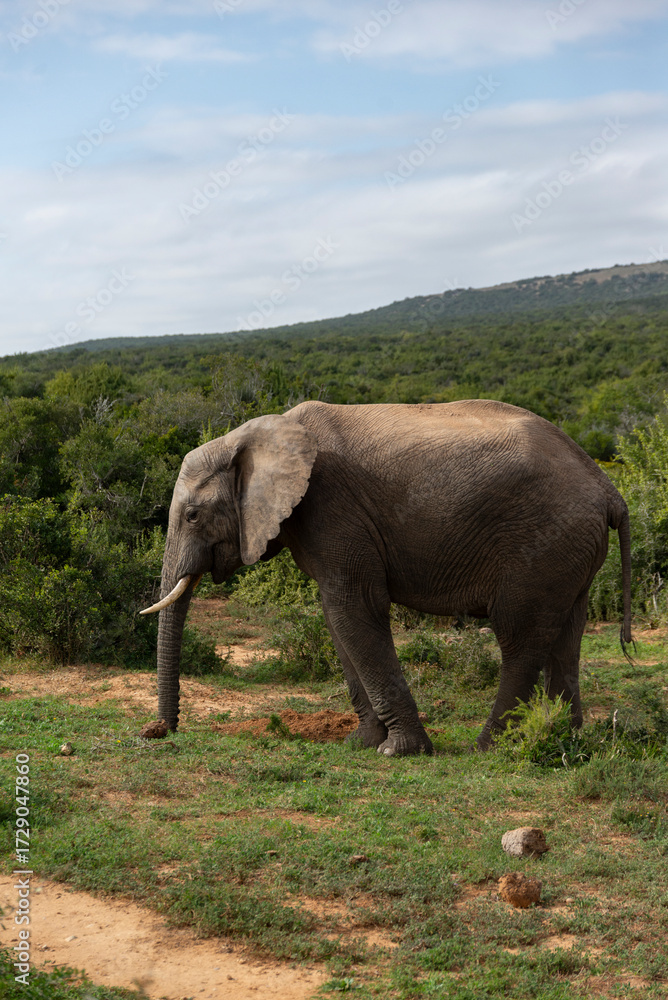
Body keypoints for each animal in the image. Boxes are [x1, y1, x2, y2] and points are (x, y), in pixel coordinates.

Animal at [140, 399, 632, 755]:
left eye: (192, 515)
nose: (159, 730)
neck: (256, 433)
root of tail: (608, 488)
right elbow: (338, 619)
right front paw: (358, 743)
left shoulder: (333, 508)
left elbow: (353, 609)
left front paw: (399, 751)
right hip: (570, 550)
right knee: (567, 637)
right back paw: (561, 740)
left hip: (542, 544)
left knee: (520, 638)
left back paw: (488, 747)